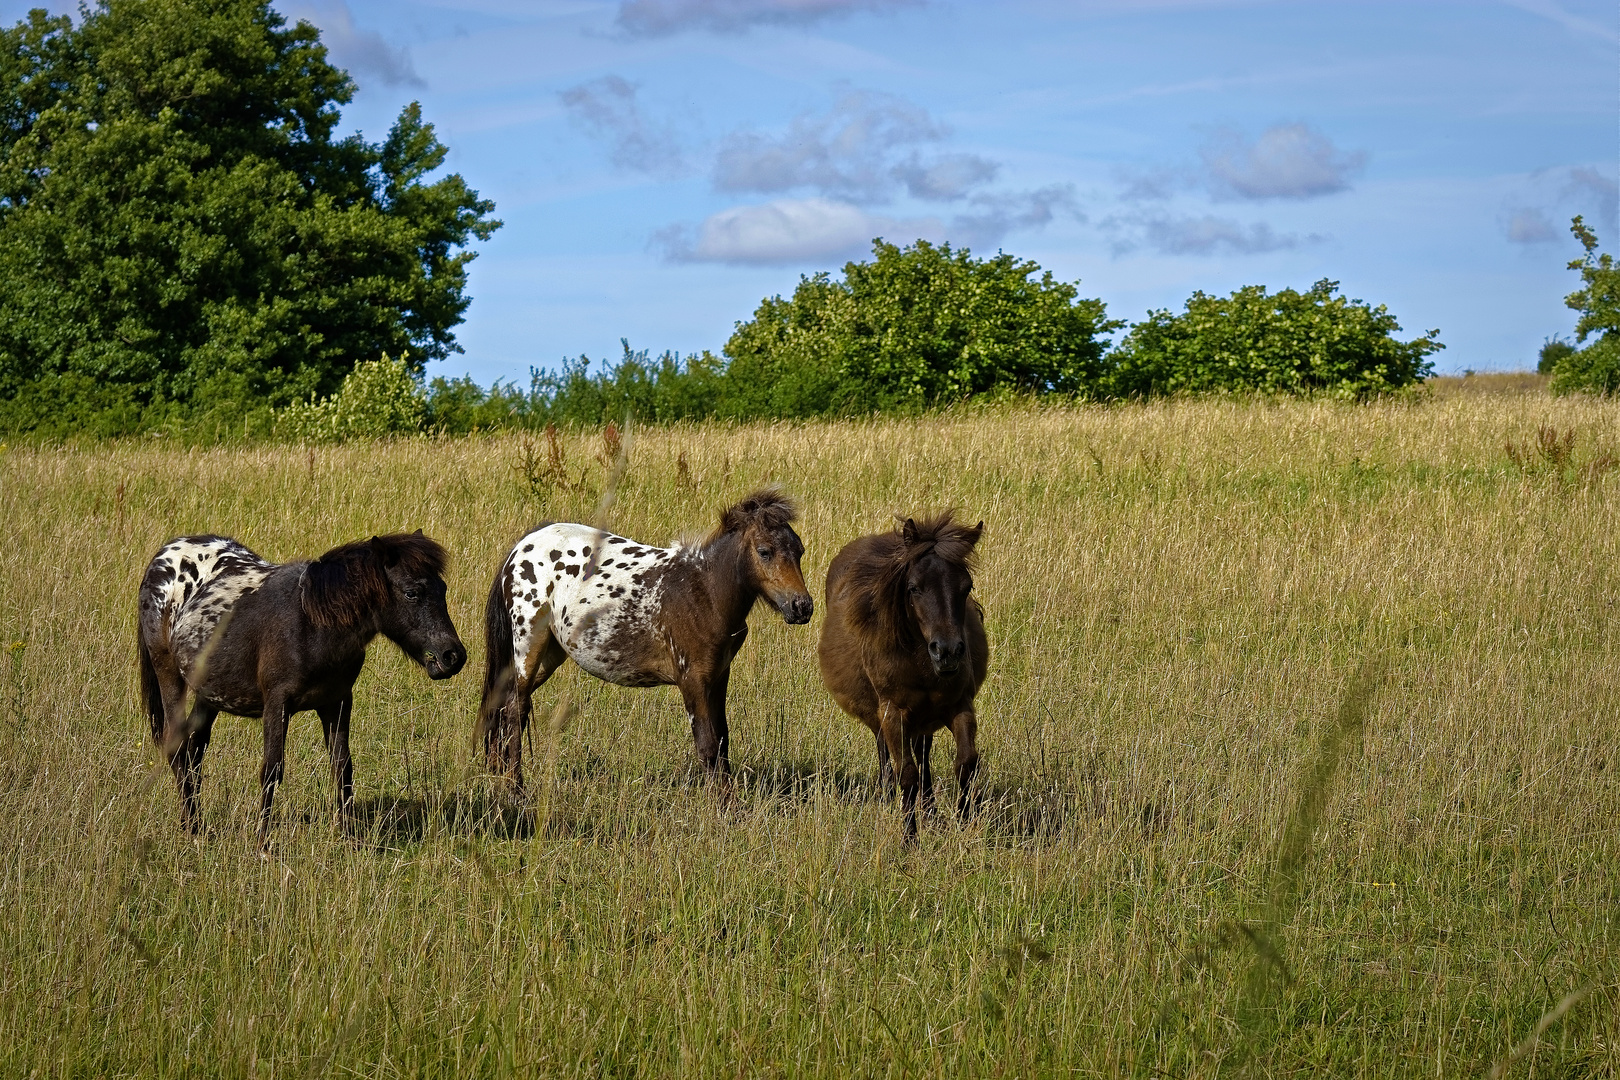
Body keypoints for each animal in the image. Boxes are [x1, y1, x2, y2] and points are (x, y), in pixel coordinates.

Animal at [135, 537, 466, 841]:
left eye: (443, 589)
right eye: (412, 593)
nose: (453, 656)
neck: (312, 623)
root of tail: (164, 555)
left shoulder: (337, 702)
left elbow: (342, 767)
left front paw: (348, 839)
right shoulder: (277, 704)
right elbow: (271, 770)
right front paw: (263, 843)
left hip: (209, 694)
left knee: (195, 748)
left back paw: (195, 823)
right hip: (169, 675)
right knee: (177, 747)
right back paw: (193, 828)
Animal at [476, 488, 810, 786]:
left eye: (800, 551)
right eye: (765, 552)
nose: (802, 606)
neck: (704, 593)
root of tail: (521, 547)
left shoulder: (718, 677)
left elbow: (722, 743)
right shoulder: (693, 680)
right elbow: (707, 746)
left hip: (550, 654)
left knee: (503, 707)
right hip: (528, 646)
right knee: (515, 711)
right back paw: (516, 790)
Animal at [816, 511, 978, 841]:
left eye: (966, 587)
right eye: (914, 587)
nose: (948, 651)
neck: (919, 665)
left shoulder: (959, 705)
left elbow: (964, 763)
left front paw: (963, 825)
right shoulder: (893, 713)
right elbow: (907, 774)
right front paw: (909, 838)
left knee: (923, 754)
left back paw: (930, 810)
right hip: (880, 712)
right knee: (884, 748)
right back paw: (888, 794)